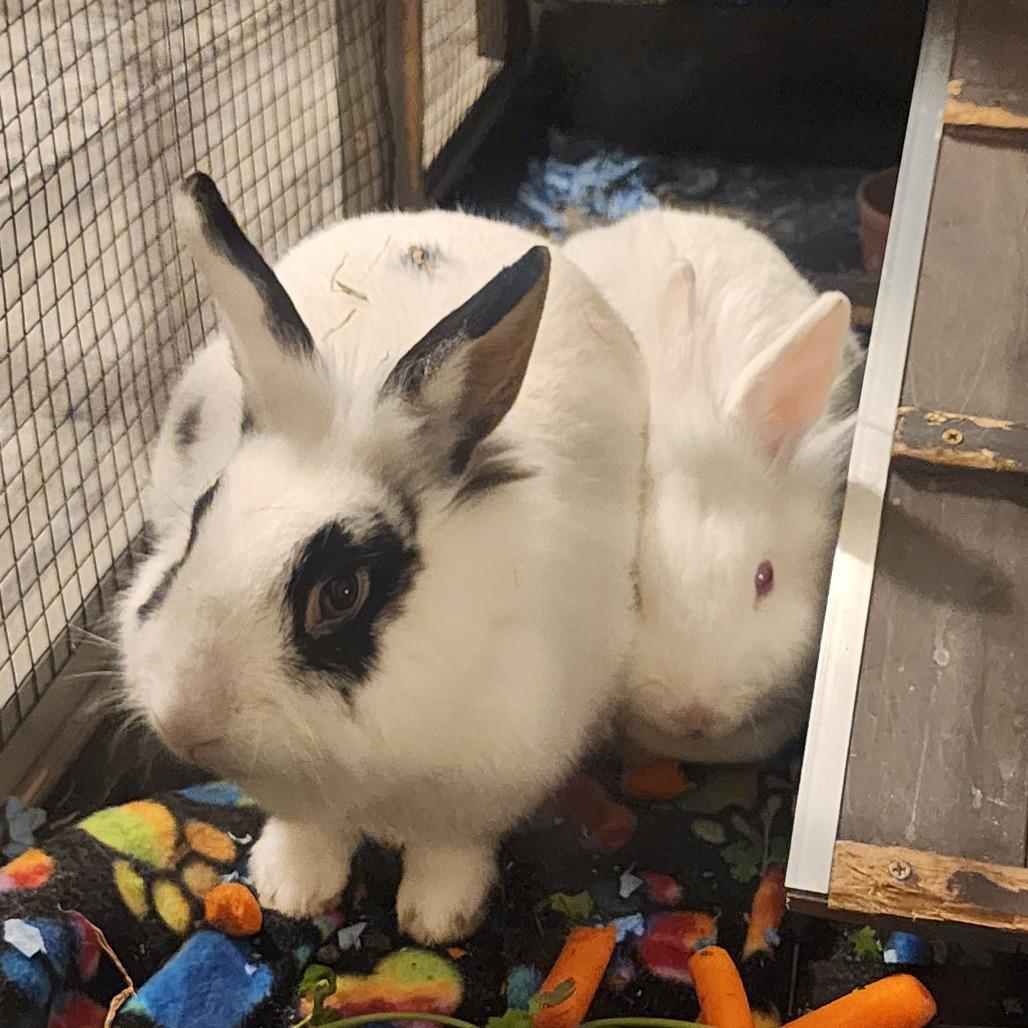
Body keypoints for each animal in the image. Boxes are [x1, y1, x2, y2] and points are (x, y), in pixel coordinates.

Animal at [118, 174, 649, 944]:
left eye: (342, 593)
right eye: (195, 524)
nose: (185, 721)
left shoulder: (490, 778)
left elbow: (449, 849)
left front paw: (439, 921)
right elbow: (309, 831)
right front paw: (290, 889)